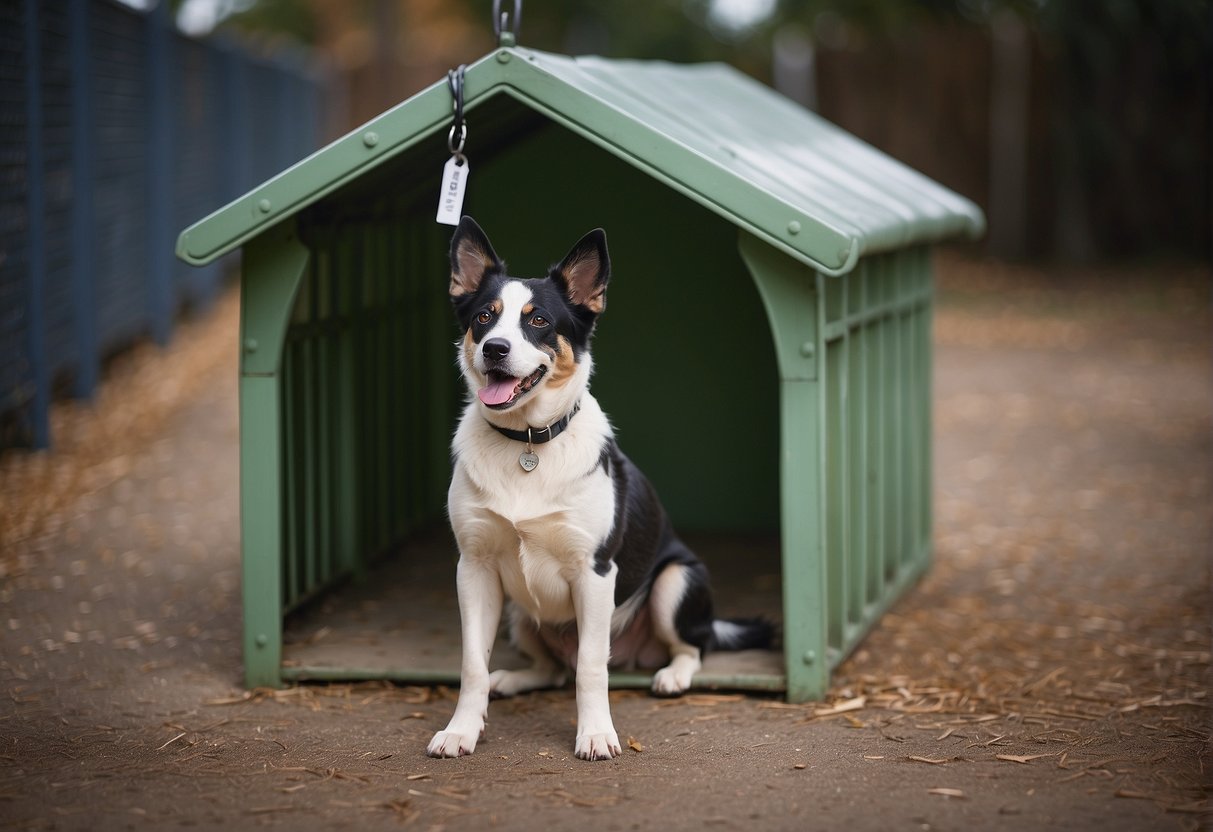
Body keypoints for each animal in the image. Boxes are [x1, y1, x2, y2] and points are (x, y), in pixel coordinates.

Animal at [426, 219, 766, 761]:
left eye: (538, 321)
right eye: (484, 317)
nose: (494, 349)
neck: (527, 443)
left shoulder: (595, 571)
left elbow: (591, 666)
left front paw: (595, 734)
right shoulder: (473, 569)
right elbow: (471, 664)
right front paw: (461, 730)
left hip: (674, 582)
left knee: (691, 647)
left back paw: (672, 675)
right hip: (519, 614)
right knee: (551, 671)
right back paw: (512, 679)